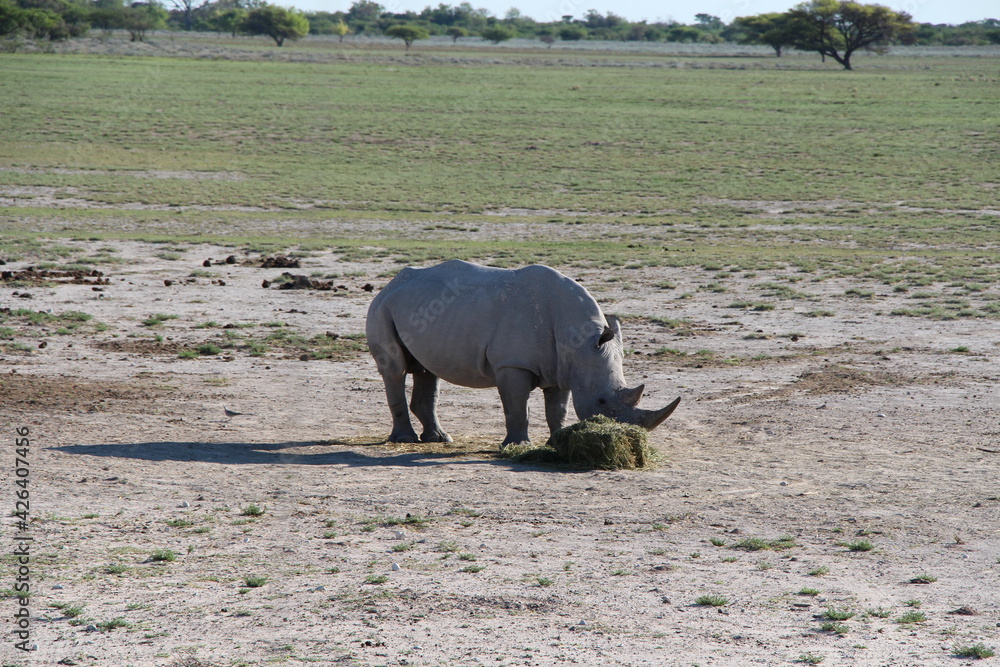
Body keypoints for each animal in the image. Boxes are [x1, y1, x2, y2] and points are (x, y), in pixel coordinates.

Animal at [365, 260, 680, 448]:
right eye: (602, 401)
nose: (630, 436)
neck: (578, 340)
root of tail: (390, 283)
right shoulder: (513, 364)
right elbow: (517, 406)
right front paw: (518, 446)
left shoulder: (563, 367)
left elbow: (558, 409)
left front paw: (556, 442)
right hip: (381, 308)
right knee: (395, 370)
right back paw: (406, 440)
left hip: (416, 310)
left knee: (427, 370)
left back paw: (440, 439)